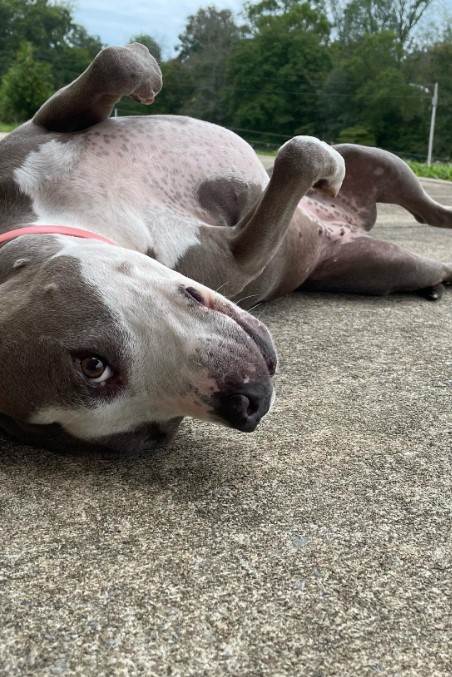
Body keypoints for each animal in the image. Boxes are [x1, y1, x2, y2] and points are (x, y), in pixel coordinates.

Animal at [0, 41, 452, 454]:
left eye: (92, 364)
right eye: (158, 433)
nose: (248, 405)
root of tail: (349, 221)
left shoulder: (40, 134)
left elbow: (115, 63)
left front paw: (146, 74)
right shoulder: (240, 256)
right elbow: (294, 160)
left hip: (381, 164)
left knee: (423, 207)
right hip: (383, 265)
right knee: (427, 259)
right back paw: (435, 282)